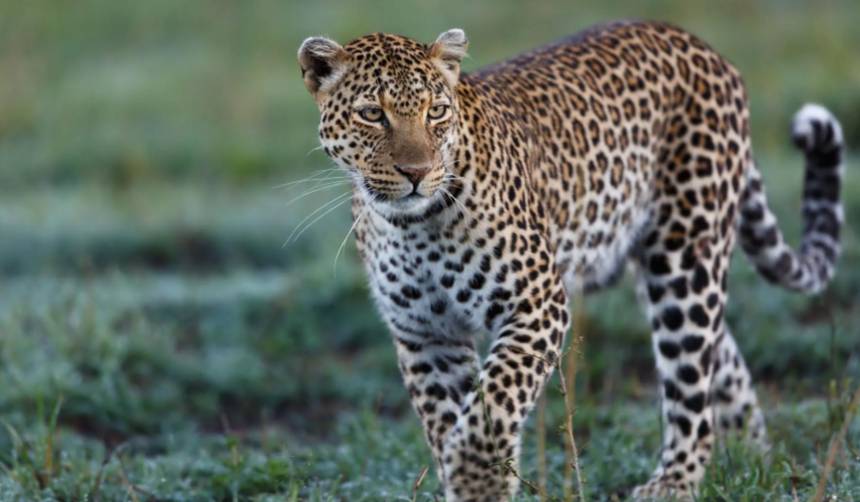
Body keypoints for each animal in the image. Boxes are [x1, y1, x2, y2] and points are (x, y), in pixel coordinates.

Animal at [298, 20, 848, 502]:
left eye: (435, 112)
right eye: (372, 114)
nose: (417, 172)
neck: (412, 226)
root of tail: (706, 48)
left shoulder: (537, 301)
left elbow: (492, 404)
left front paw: (480, 481)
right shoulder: (425, 335)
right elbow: (449, 419)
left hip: (685, 254)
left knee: (691, 383)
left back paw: (675, 483)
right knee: (721, 358)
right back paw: (754, 461)